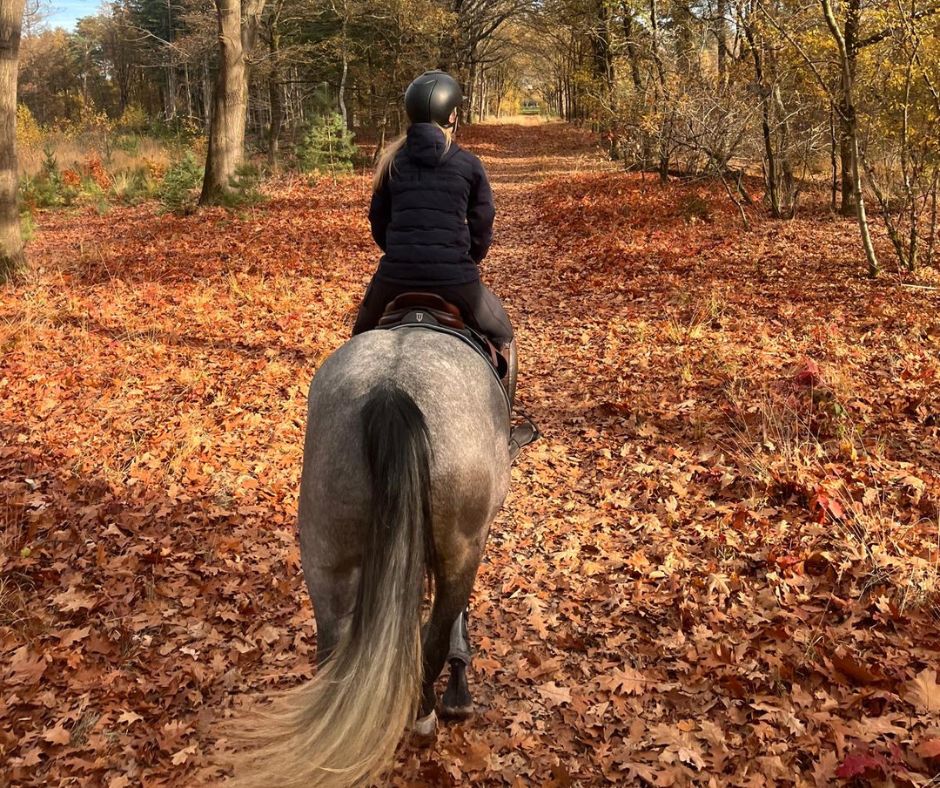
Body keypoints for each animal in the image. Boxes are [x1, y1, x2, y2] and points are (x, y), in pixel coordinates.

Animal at [230, 326, 511, 787]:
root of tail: (389, 392)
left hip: (325, 552)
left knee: (331, 646)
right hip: (461, 548)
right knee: (434, 640)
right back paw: (423, 715)